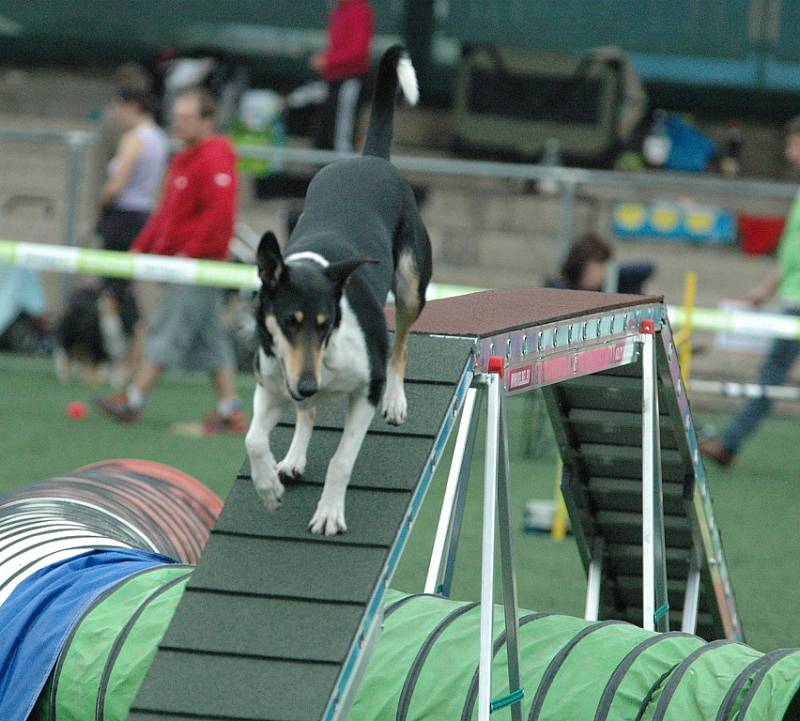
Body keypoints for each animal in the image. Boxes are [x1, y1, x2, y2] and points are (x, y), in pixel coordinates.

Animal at [247, 45, 432, 536]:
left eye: (327, 323)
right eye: (287, 323)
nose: (308, 383)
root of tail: (369, 158)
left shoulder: (363, 392)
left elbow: (342, 460)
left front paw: (329, 515)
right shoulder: (272, 382)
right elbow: (254, 439)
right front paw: (269, 488)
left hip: (411, 284)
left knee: (401, 346)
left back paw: (396, 401)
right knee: (306, 413)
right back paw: (292, 459)